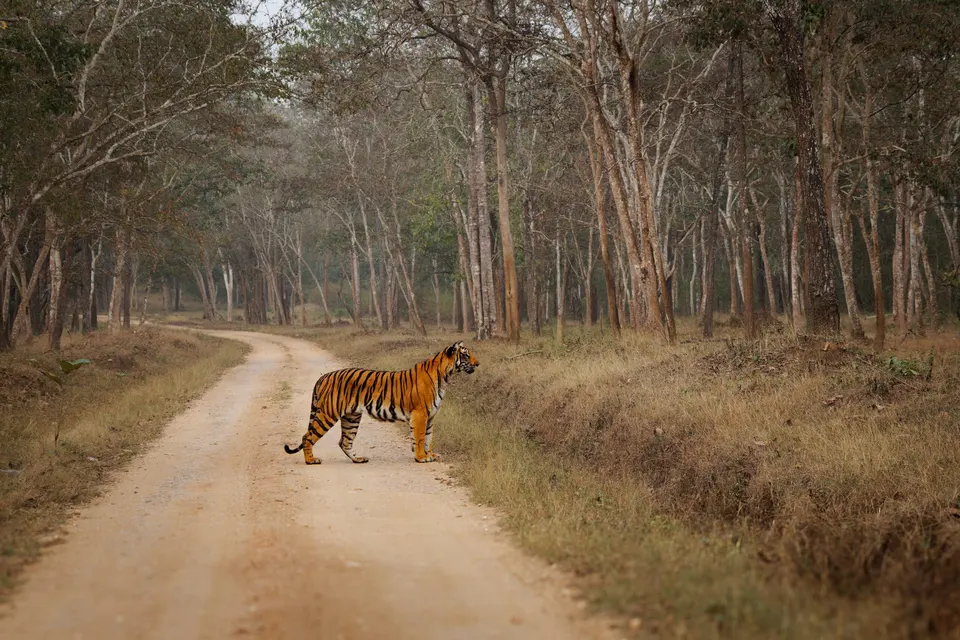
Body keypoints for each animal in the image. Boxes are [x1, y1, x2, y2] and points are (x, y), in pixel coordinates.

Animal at [284, 341, 479, 465]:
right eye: (466, 355)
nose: (478, 364)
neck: (445, 377)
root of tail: (323, 376)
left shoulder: (430, 416)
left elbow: (428, 437)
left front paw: (429, 454)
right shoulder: (420, 414)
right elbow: (420, 436)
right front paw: (421, 457)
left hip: (351, 417)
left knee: (344, 441)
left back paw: (358, 459)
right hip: (328, 414)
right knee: (307, 436)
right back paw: (311, 460)